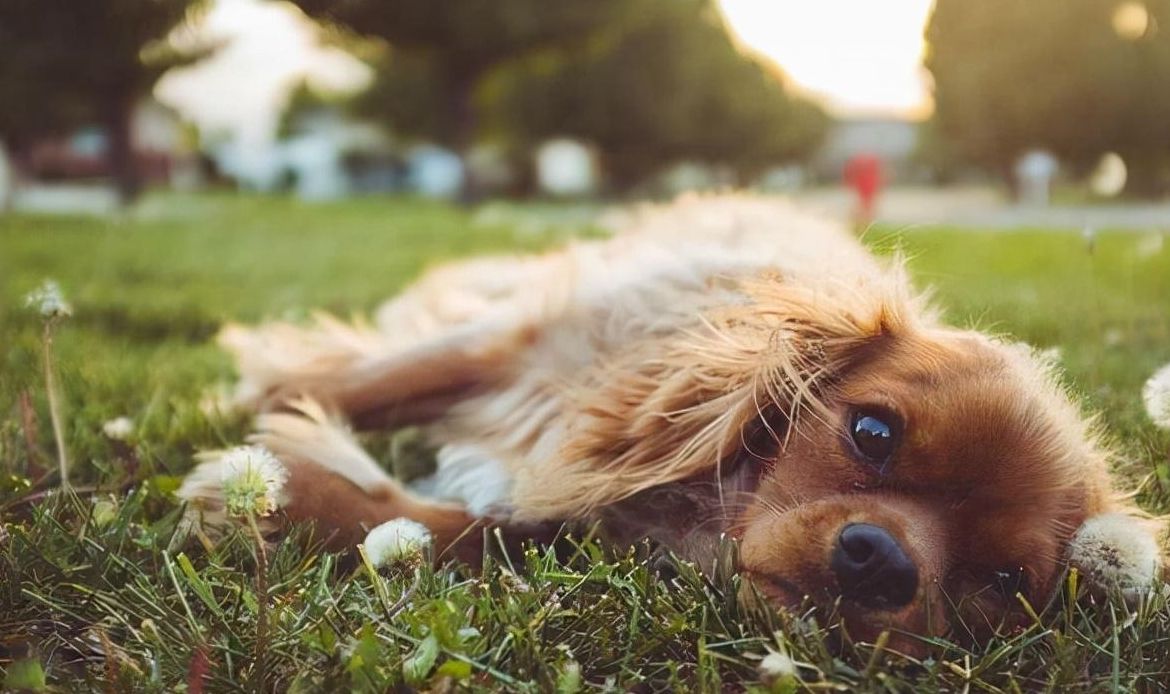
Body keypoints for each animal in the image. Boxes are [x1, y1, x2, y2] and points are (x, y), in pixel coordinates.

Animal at [177, 193, 1165, 650]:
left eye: (1000, 582)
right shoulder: (518, 348)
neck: (705, 497)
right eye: (873, 433)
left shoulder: (566, 513)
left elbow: (459, 532)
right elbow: (373, 381)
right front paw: (258, 435)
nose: (883, 563)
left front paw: (288, 499)